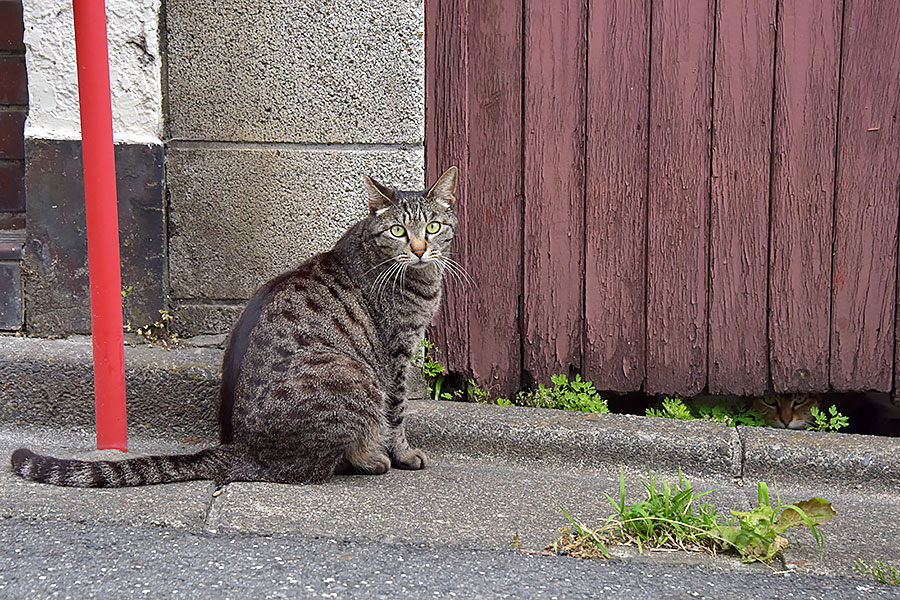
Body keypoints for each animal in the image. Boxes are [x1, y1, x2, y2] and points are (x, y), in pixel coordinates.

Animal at [13, 166, 460, 486]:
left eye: (433, 227)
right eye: (398, 230)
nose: (420, 250)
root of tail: (243, 451)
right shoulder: (396, 355)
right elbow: (397, 413)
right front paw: (404, 455)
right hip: (355, 375)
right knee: (320, 466)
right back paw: (371, 460)